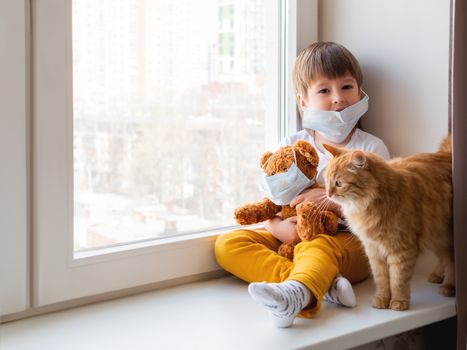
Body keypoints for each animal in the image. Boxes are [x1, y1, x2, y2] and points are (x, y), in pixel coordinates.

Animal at [324, 138, 456, 310]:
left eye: (339, 183)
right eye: (327, 181)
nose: (328, 194)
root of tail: (446, 154)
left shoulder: (401, 250)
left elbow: (398, 280)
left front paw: (399, 302)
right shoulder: (373, 250)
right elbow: (382, 280)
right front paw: (381, 300)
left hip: (445, 236)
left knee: (451, 262)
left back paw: (449, 286)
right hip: (436, 236)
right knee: (444, 259)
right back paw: (437, 276)